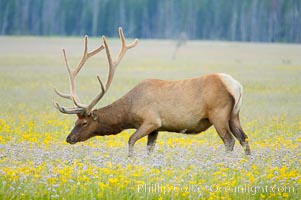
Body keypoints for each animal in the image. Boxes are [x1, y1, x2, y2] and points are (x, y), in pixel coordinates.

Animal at [52, 27, 250, 157]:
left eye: (84, 122)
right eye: (75, 121)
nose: (69, 138)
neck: (129, 110)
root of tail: (236, 86)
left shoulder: (151, 121)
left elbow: (131, 140)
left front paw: (131, 159)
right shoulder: (157, 128)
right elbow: (149, 149)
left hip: (219, 114)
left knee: (230, 140)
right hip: (234, 115)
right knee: (244, 138)